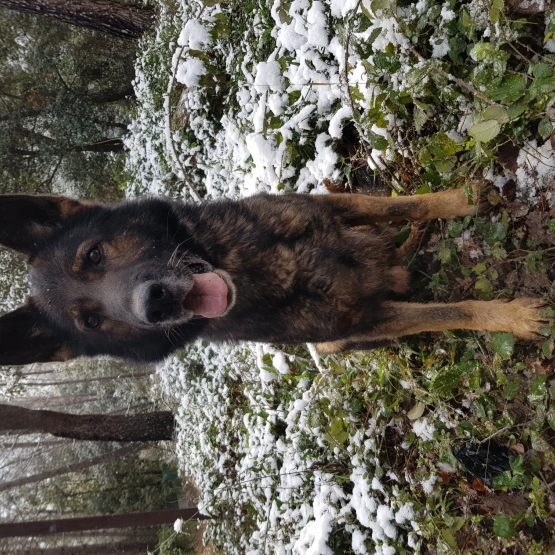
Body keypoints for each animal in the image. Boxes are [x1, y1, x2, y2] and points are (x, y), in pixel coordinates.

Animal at [0, 189, 548, 368]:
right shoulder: (366, 320)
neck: (245, 265)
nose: (153, 303)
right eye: (91, 322)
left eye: (93, 255)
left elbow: (401, 203)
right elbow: (450, 311)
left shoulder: (331, 204)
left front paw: (460, 199)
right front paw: (513, 317)